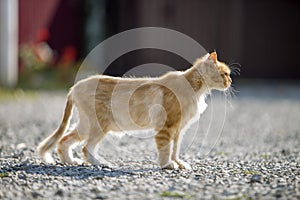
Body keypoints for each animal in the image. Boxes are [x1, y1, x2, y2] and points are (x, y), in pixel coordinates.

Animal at [37, 51, 230, 169]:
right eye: (225, 74)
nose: (230, 82)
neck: (194, 88)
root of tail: (74, 87)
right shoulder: (166, 127)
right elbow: (165, 149)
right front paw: (167, 165)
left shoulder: (178, 129)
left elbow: (175, 149)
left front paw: (178, 164)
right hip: (100, 124)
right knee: (86, 147)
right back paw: (100, 163)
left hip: (86, 124)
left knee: (64, 140)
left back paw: (70, 161)